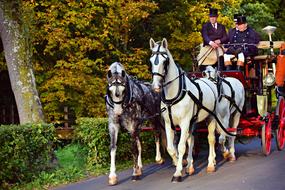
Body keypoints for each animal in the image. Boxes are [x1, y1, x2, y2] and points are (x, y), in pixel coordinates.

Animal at [150, 37, 219, 182]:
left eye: (165, 61)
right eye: (151, 60)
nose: (156, 86)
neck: (174, 96)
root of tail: (209, 80)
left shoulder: (185, 122)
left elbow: (181, 147)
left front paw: (177, 173)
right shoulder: (169, 124)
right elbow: (171, 148)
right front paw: (180, 164)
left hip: (211, 117)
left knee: (211, 139)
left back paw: (211, 164)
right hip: (194, 121)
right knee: (191, 139)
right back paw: (190, 166)